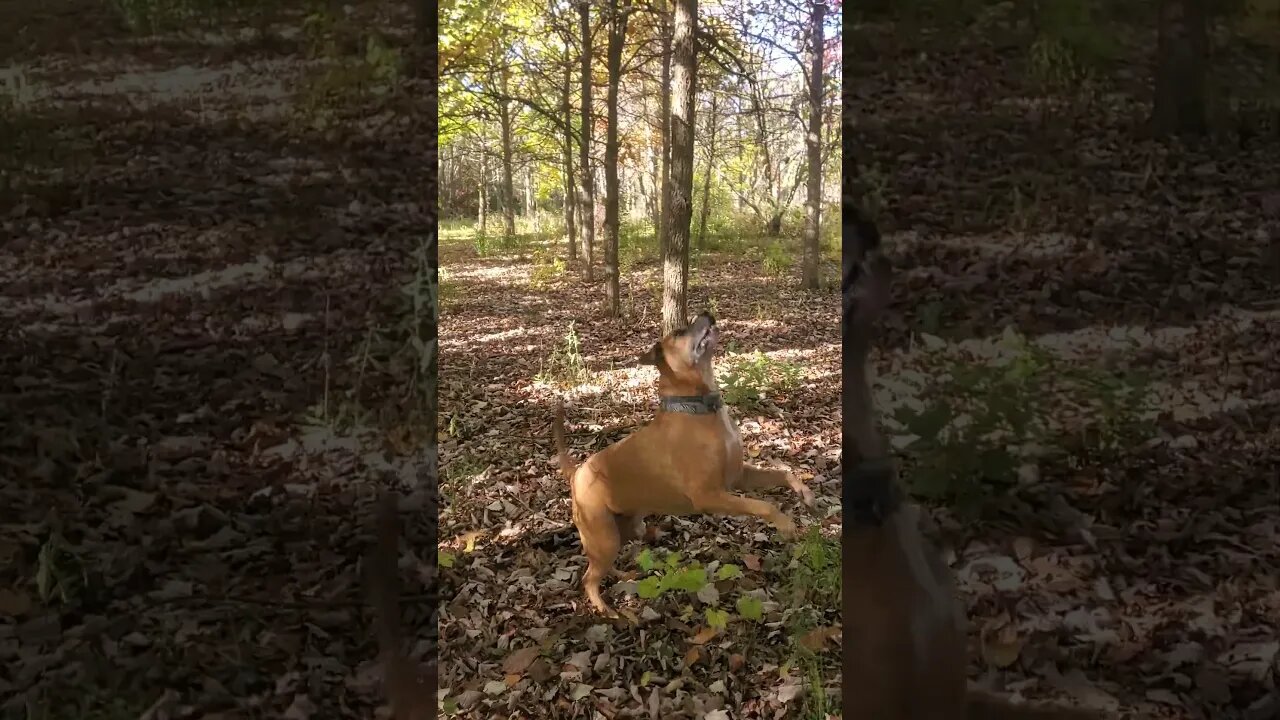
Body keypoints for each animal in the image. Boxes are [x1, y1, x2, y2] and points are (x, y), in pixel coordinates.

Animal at [547, 311, 808, 614]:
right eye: (680, 332)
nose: (706, 312)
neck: (698, 408)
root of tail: (577, 473)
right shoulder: (709, 496)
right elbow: (764, 506)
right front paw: (786, 524)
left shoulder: (740, 475)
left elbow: (784, 474)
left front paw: (805, 494)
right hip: (604, 537)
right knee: (588, 579)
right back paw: (608, 611)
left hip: (623, 529)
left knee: (601, 568)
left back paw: (623, 575)